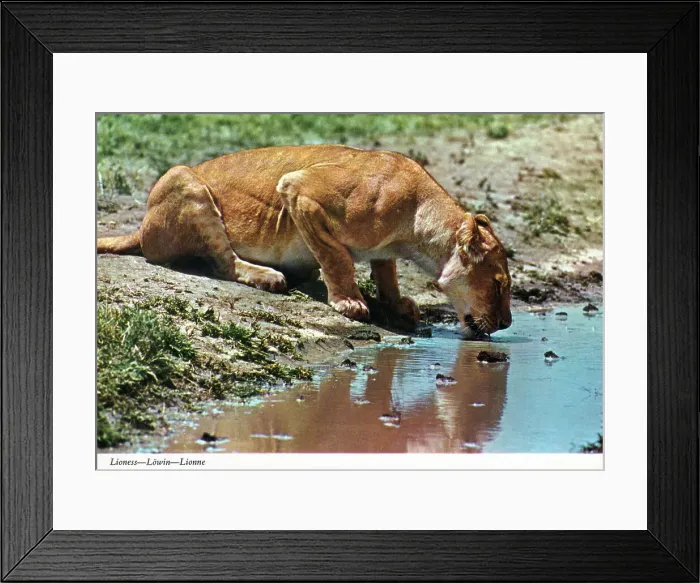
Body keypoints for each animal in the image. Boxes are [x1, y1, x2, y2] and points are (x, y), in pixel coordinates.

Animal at [97, 145, 512, 336]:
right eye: (499, 285)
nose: (507, 324)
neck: (414, 226)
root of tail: (142, 226)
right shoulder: (300, 190)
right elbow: (338, 258)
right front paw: (350, 302)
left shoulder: (382, 249)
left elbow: (387, 273)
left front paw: (396, 304)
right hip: (186, 181)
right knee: (225, 262)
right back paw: (269, 276)